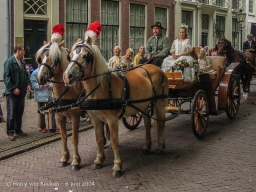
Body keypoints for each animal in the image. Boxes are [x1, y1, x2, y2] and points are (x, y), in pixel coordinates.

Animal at [36, 40, 83, 171]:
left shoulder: (75, 116)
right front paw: (64, 158)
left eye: (54, 58)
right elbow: (64, 137)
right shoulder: (58, 117)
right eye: (40, 58)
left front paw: (75, 162)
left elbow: (74, 138)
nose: (40, 77)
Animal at [63, 38, 169, 178]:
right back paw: (146, 147)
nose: (67, 76)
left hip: (160, 103)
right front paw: (98, 161)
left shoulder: (112, 120)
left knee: (161, 124)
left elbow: (114, 142)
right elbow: (99, 139)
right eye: (69, 56)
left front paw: (117, 166)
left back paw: (160, 147)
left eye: (85, 55)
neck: (101, 88)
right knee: (147, 124)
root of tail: (157, 68)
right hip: (144, 105)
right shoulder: (95, 119)